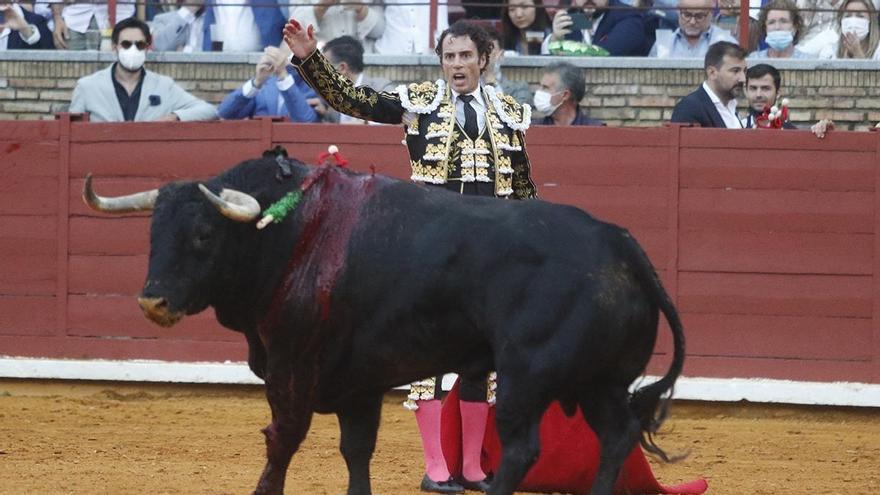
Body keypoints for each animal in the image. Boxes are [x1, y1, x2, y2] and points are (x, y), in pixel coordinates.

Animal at [84, 155, 688, 495]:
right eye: (153, 235)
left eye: (203, 237)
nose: (153, 301)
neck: (288, 231)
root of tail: (619, 242)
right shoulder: (359, 383)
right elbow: (357, 451)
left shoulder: (291, 368)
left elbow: (282, 441)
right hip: (599, 381)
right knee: (616, 436)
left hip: (527, 375)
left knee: (521, 449)